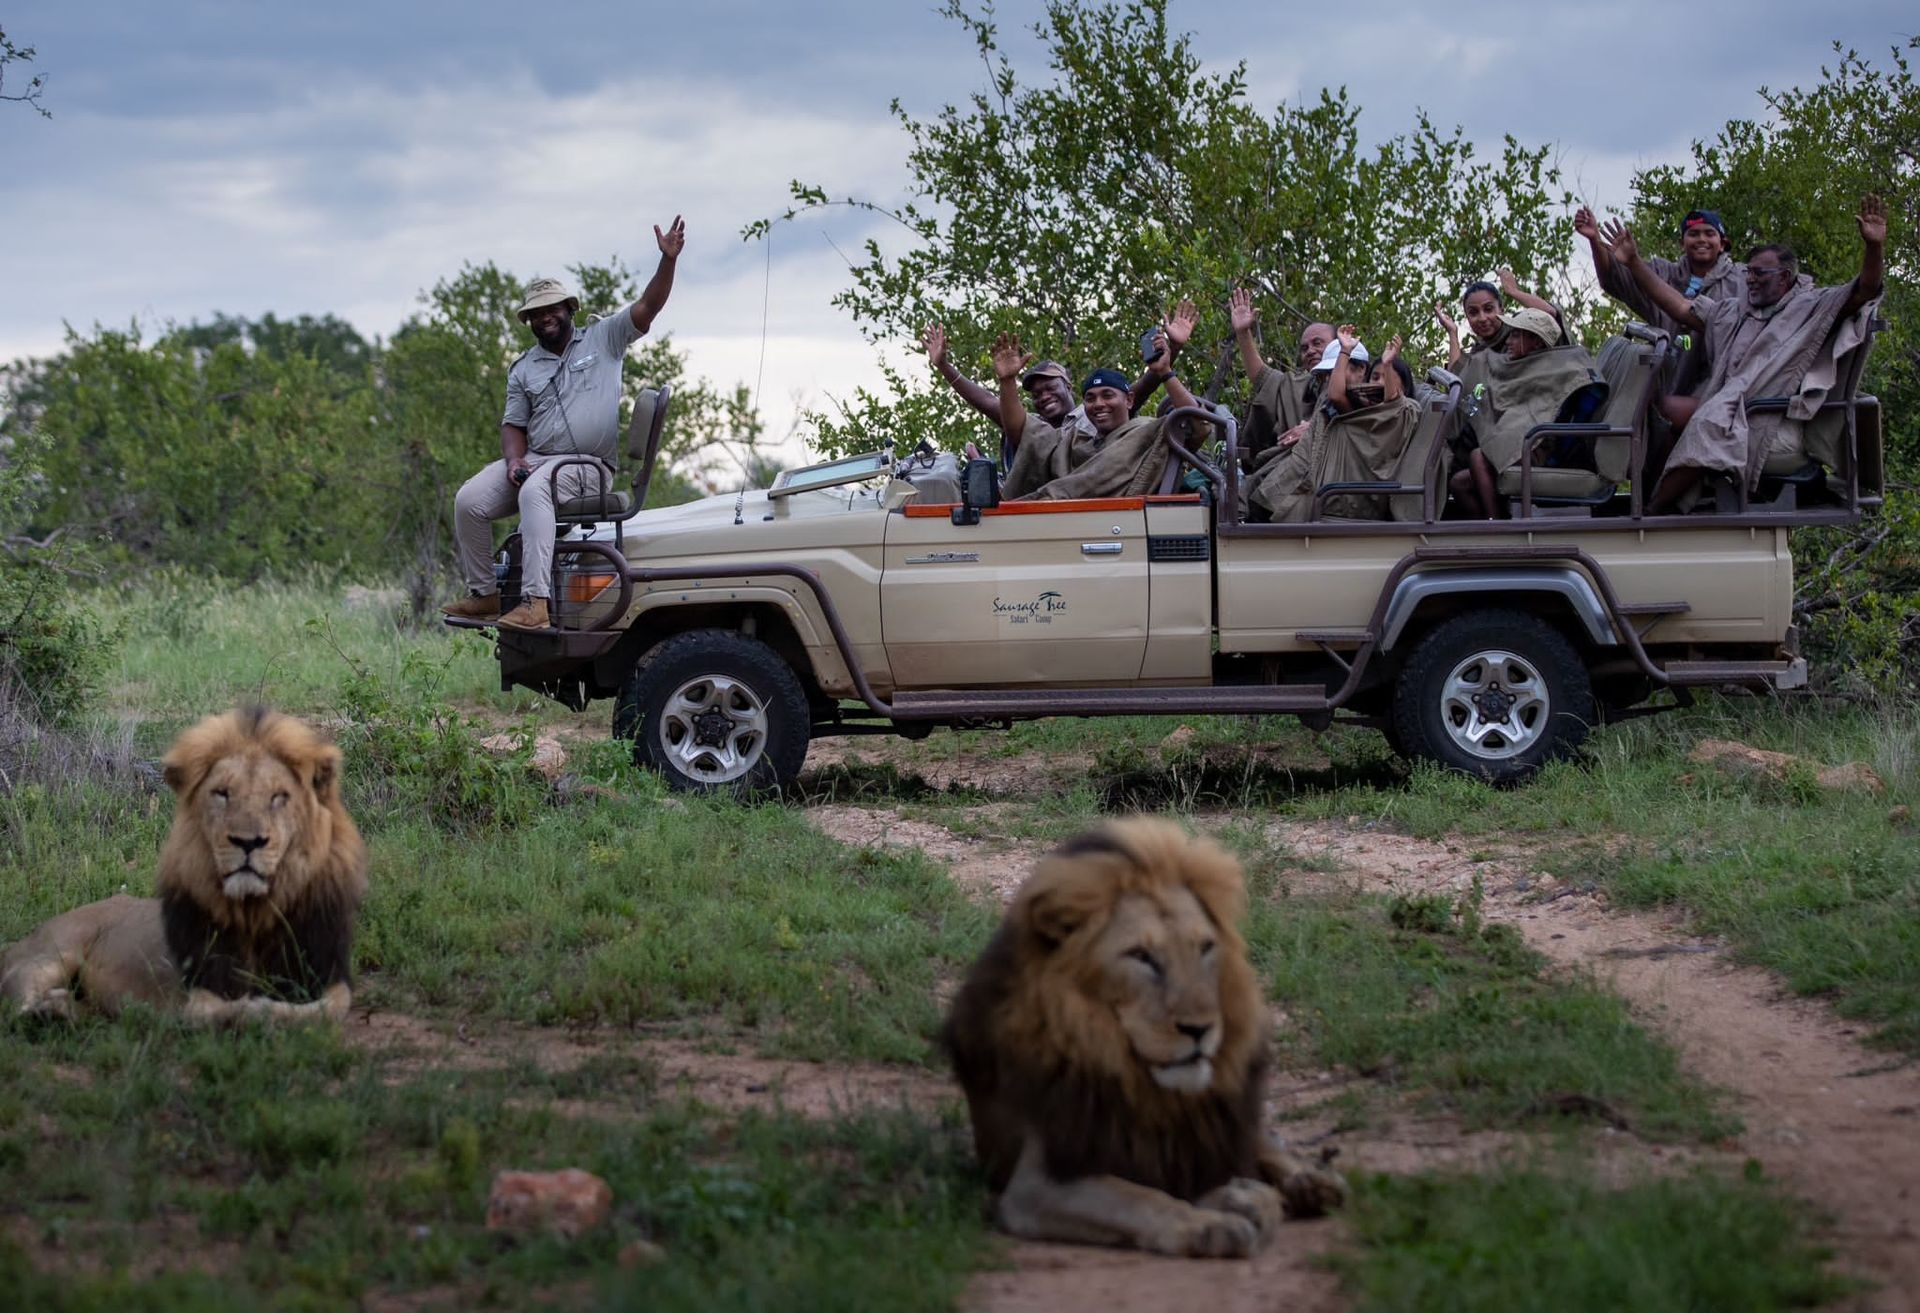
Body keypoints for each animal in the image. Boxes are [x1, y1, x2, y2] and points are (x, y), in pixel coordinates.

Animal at [0, 707, 368, 1025]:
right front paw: (255, 1008)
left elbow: (333, 1005)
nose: (248, 842)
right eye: (222, 794)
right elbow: (229, 1009)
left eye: (279, 797)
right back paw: (51, 1012)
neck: (256, 912)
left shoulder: (329, 971)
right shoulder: (196, 993)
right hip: (52, 952)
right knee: (17, 1000)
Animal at [942, 818, 1345, 1258]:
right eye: (1140, 956)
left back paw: (1312, 1182)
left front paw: (1239, 1201)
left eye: (1205, 947)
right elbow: (1140, 1199)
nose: (1200, 1029)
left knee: (1264, 1141)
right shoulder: (1039, 1182)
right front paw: (1213, 1222)